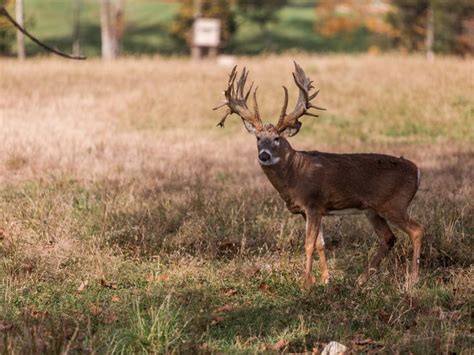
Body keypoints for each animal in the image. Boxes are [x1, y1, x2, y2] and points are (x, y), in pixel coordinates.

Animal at [214, 62, 422, 290]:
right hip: (372, 209)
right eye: (258, 138)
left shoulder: (313, 203)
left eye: (277, 138)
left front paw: (305, 283)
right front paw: (325, 280)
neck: (295, 174)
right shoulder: (313, 210)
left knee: (416, 229)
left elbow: (308, 244)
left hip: (394, 203)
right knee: (388, 238)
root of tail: (418, 172)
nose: (264, 155)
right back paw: (360, 280)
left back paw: (413, 279)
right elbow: (321, 243)